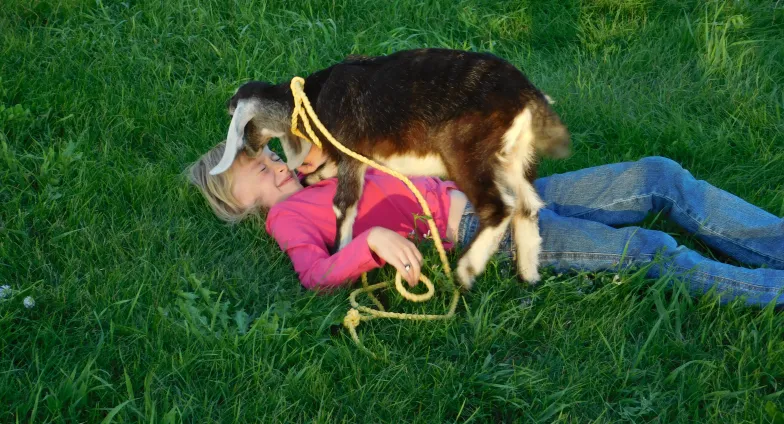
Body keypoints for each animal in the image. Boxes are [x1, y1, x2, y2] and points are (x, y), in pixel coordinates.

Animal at [211, 48, 572, 290]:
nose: (250, 153)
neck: (310, 100)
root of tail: (525, 96)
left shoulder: (352, 152)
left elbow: (343, 206)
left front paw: (341, 252)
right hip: (514, 159)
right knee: (527, 205)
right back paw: (528, 273)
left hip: (467, 152)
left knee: (499, 207)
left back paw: (468, 269)